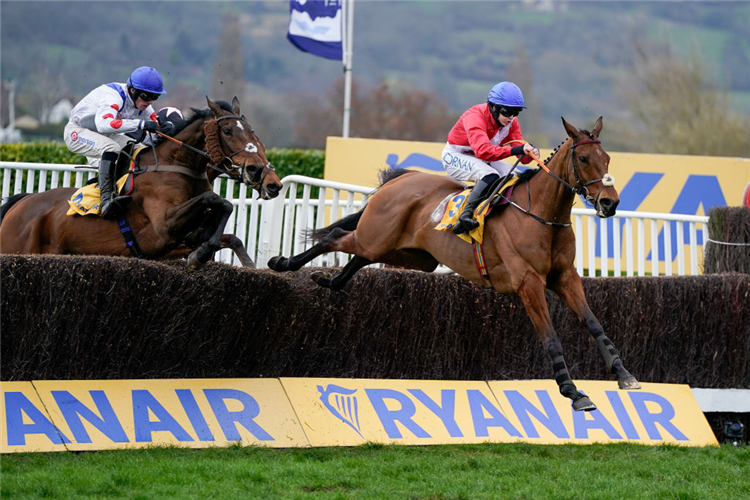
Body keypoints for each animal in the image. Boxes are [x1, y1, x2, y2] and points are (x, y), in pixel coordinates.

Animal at [0, 97, 282, 270]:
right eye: (227, 131)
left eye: (253, 132)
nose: (267, 178)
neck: (176, 164)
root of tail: (21, 202)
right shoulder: (161, 229)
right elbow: (215, 200)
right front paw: (201, 254)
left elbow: (229, 227)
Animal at [270, 116, 640, 410]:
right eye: (583, 158)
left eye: (607, 158)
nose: (610, 203)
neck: (541, 214)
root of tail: (399, 180)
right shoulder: (528, 283)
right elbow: (550, 337)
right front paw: (574, 392)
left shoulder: (565, 278)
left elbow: (595, 324)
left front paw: (625, 375)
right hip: (376, 237)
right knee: (335, 237)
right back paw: (283, 263)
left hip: (408, 254)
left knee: (359, 258)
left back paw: (327, 281)